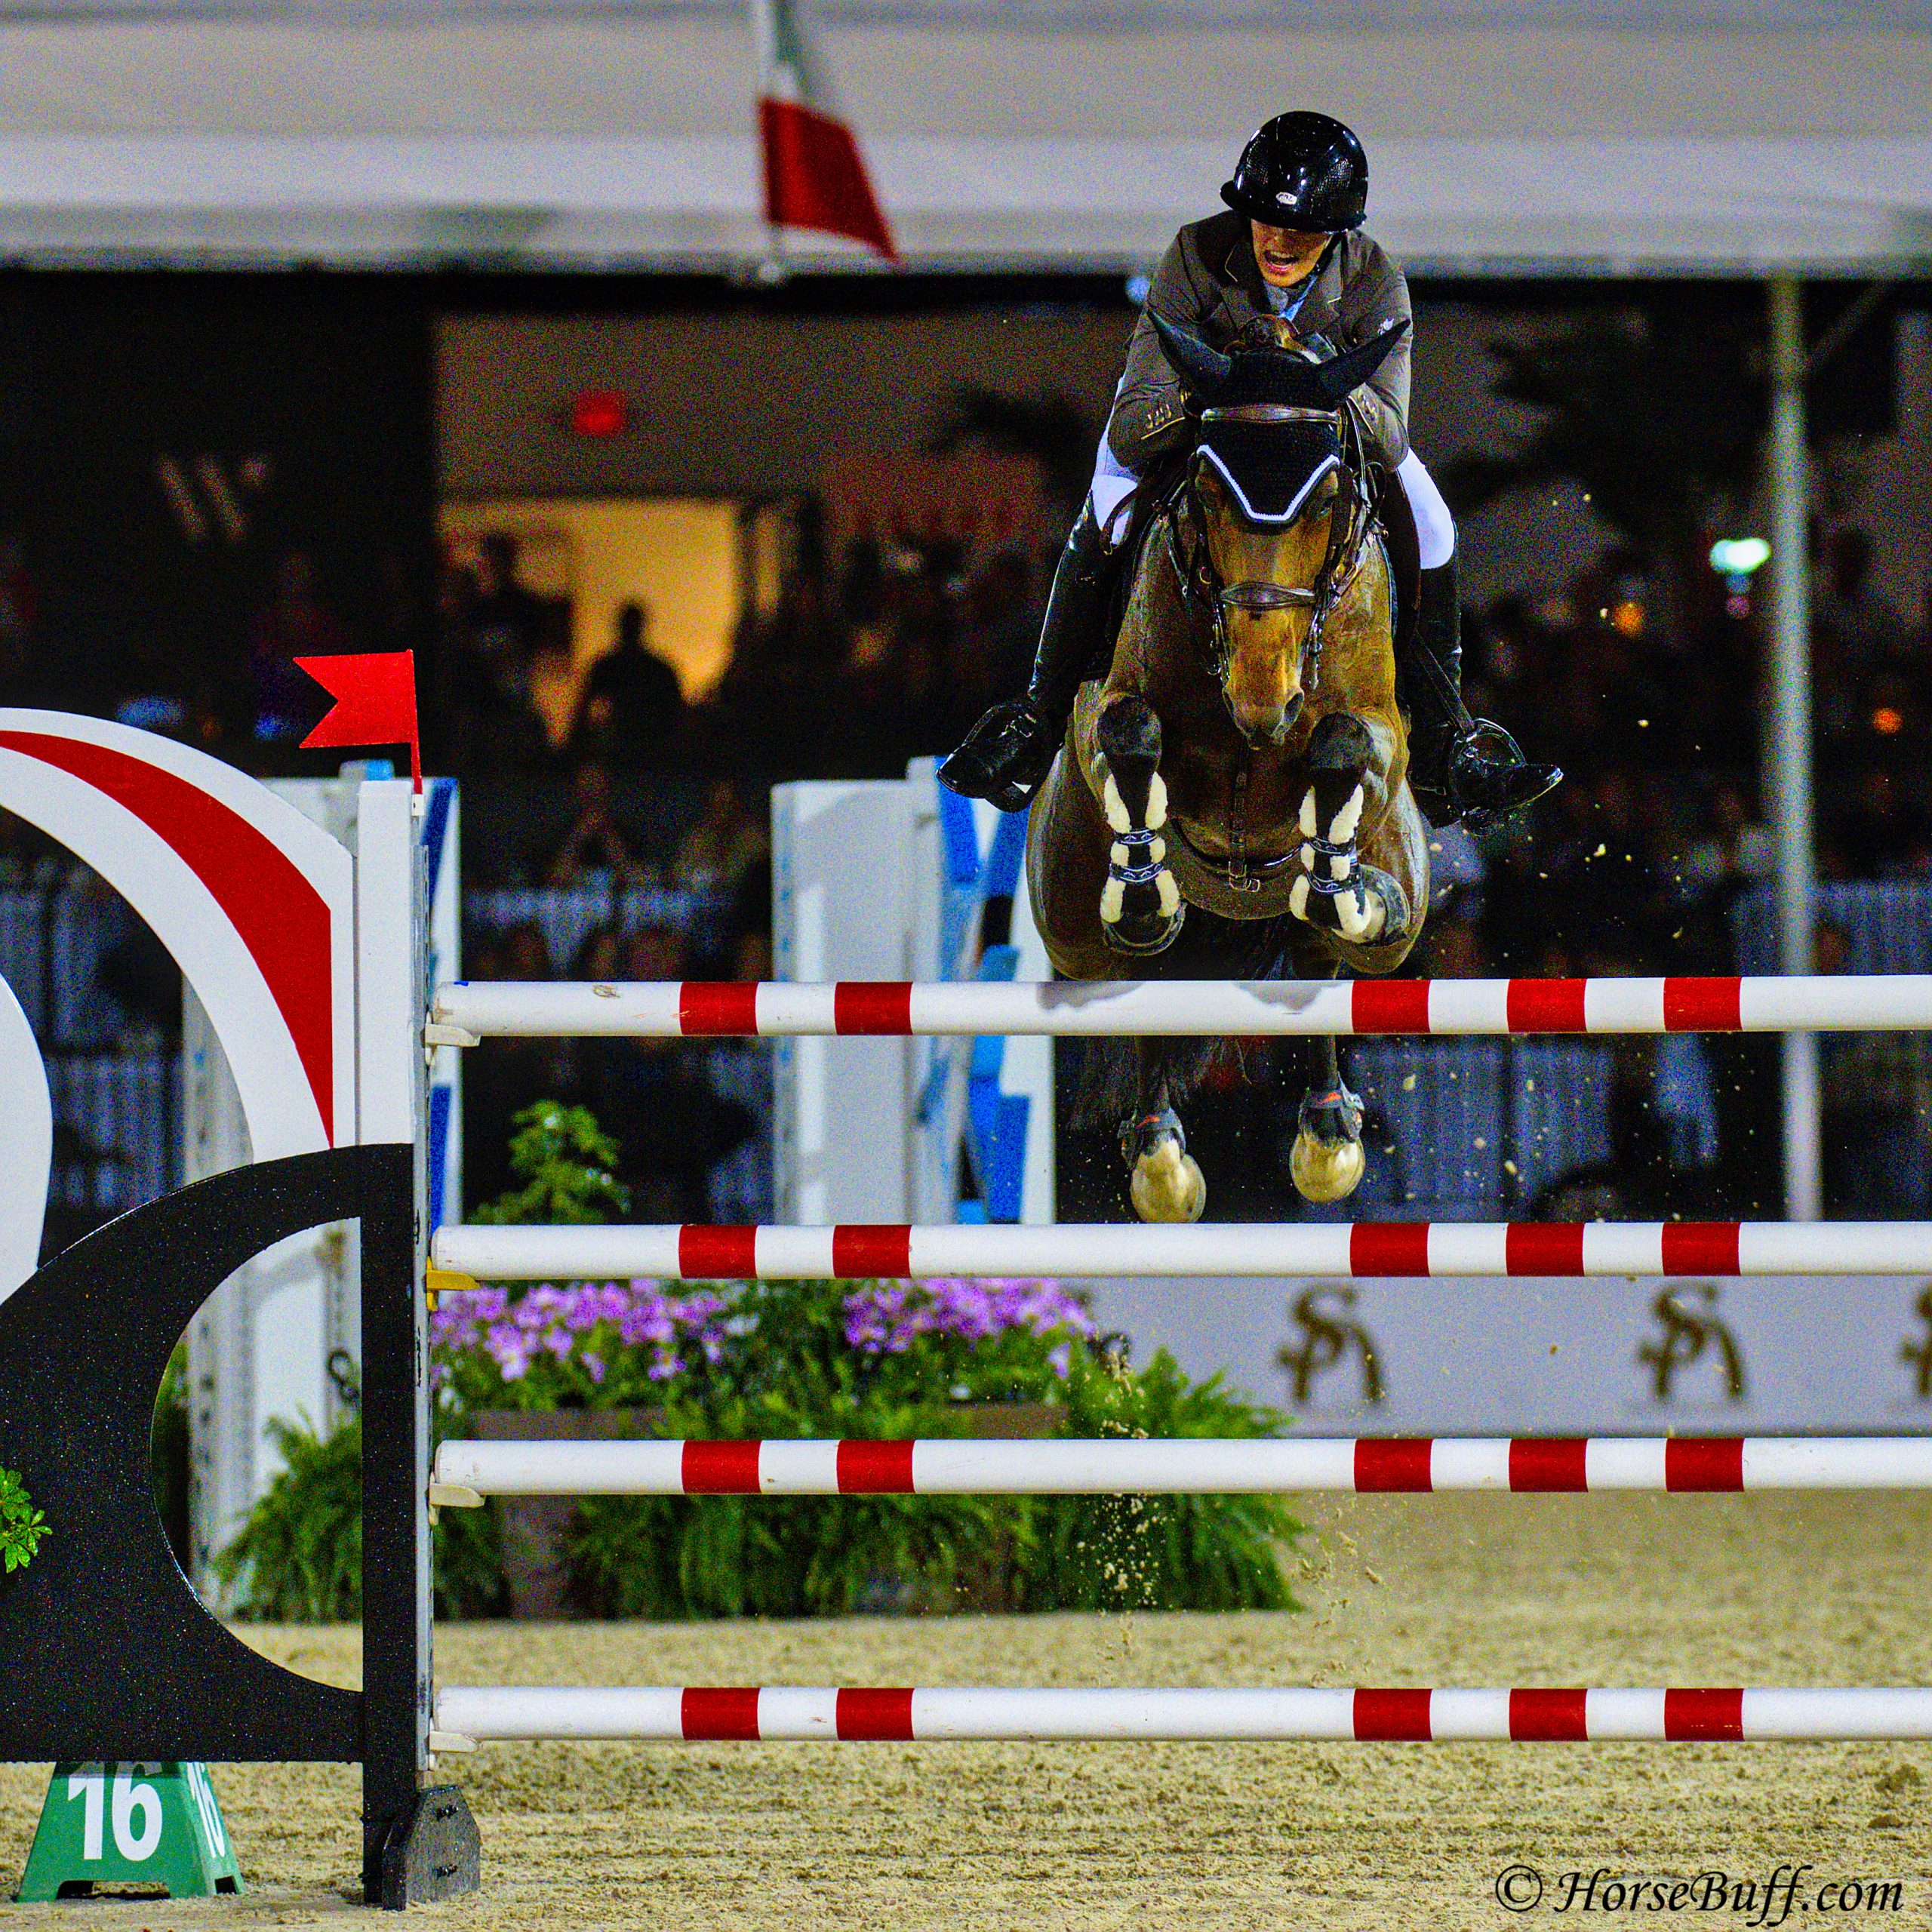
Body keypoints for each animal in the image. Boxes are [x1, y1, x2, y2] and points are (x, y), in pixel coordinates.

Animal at [1027, 316, 1437, 1220]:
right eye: (1208, 494)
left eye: (1326, 500)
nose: (1263, 699)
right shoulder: (1107, 711)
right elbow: (1131, 731)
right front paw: (1142, 893)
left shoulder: (1384, 736)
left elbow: (1346, 743)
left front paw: (1341, 881)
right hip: (1069, 926)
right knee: (1140, 977)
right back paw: (1158, 1154)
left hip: (1394, 919)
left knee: (1332, 950)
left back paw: (1330, 1122)